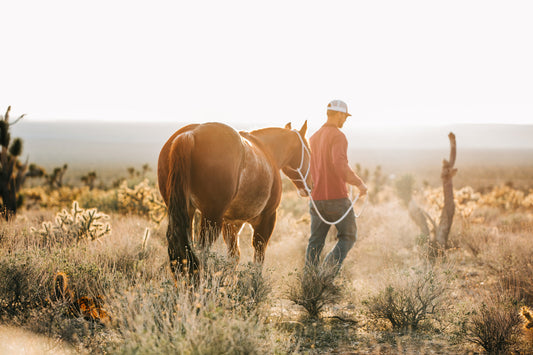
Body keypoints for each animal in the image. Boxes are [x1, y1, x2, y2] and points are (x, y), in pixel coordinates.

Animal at [156, 121, 312, 276]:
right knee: (201, 252)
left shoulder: (232, 223)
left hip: (187, 212)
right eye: (309, 152)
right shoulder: (267, 218)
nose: (309, 186)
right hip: (212, 217)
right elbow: (258, 259)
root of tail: (190, 135)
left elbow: (233, 257)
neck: (267, 150)